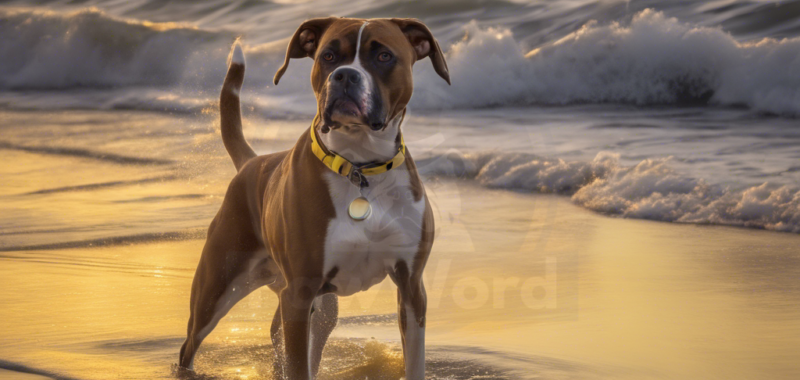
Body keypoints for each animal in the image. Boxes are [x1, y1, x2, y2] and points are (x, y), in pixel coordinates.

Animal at [180, 16, 450, 378]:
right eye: (328, 56)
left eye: (383, 56)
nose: (345, 75)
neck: (360, 168)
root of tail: (252, 162)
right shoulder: (299, 293)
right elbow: (298, 365)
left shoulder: (410, 288)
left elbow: (415, 360)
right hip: (218, 289)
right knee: (190, 343)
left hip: (319, 309)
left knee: (283, 335)